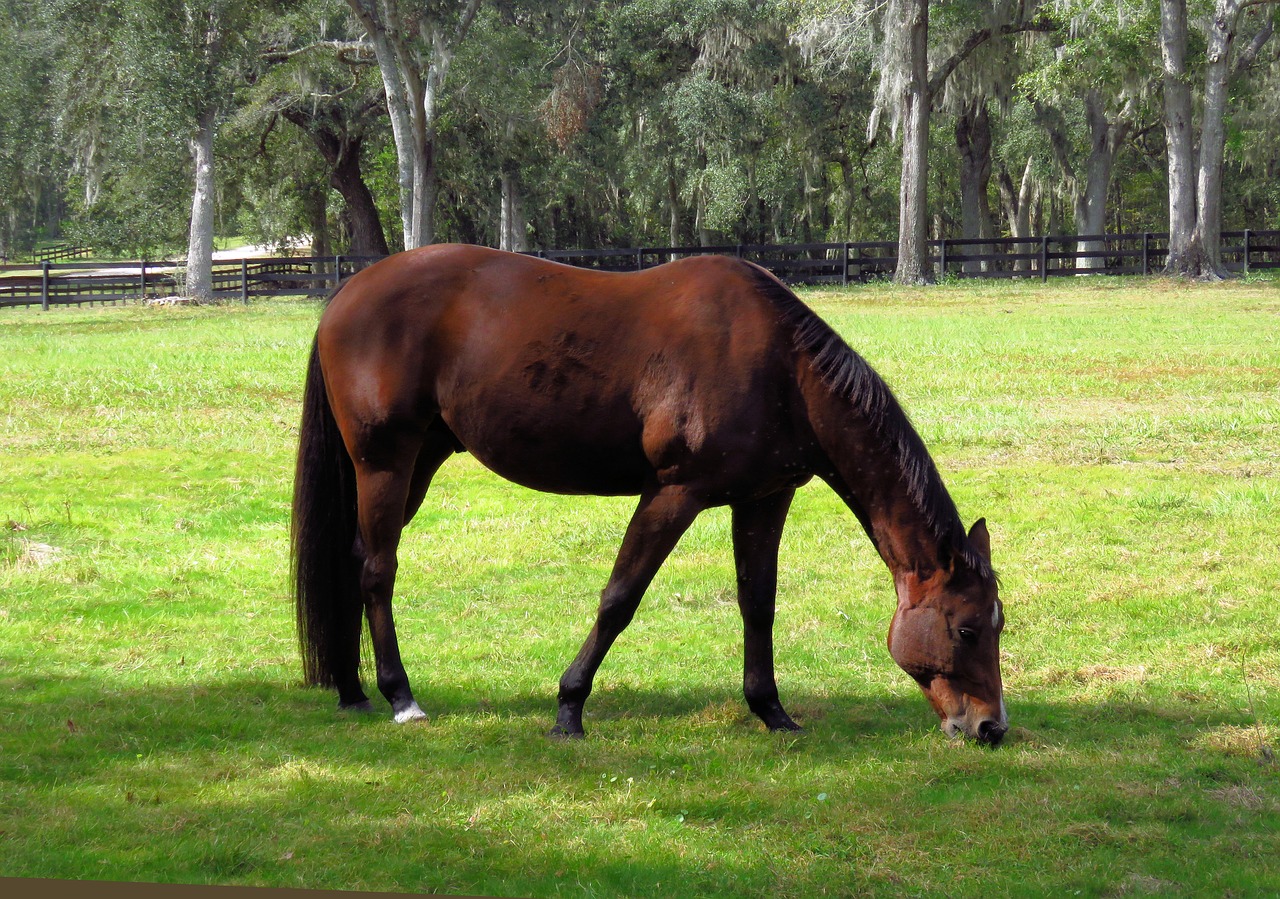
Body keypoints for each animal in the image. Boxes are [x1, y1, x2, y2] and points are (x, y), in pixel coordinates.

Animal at [293, 243, 1008, 747]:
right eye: (967, 628)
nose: (991, 727)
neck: (780, 367)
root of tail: (348, 292)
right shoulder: (673, 494)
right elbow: (620, 598)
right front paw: (569, 709)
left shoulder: (763, 500)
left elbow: (758, 605)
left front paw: (771, 711)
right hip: (385, 464)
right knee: (378, 570)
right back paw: (400, 697)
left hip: (417, 462)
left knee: (352, 562)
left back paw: (353, 689)